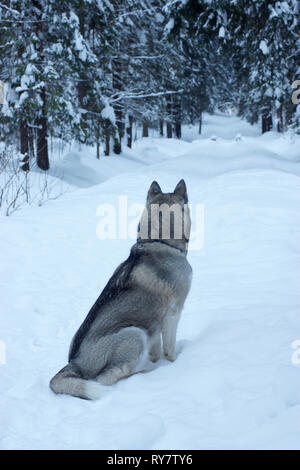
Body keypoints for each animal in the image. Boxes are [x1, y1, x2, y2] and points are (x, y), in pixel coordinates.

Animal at [49, 178, 192, 398]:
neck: (159, 240)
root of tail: (75, 363)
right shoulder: (172, 314)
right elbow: (169, 349)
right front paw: (172, 364)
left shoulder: (154, 325)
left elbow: (156, 351)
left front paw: (157, 362)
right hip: (134, 333)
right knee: (108, 378)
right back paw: (143, 374)